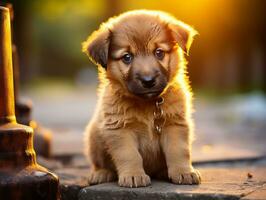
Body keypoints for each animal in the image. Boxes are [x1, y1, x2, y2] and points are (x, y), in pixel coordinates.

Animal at [82, 9, 201, 188]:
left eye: (159, 52)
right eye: (127, 57)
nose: (148, 80)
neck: (148, 104)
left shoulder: (175, 124)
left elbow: (179, 151)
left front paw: (184, 172)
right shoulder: (120, 129)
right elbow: (130, 155)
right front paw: (133, 175)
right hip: (94, 136)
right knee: (99, 163)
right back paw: (101, 173)